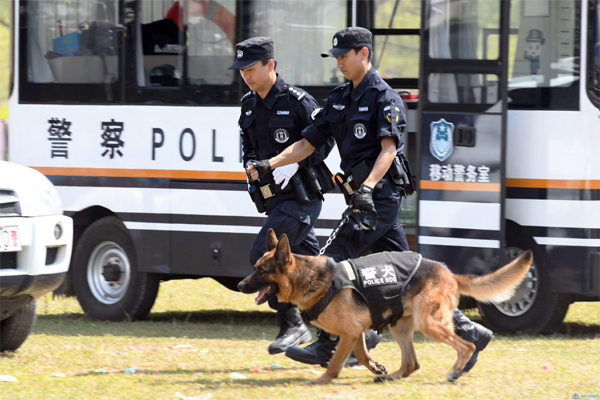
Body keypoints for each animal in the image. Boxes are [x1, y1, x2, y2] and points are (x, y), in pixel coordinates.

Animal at [237, 230, 532, 386]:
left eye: (261, 271)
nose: (240, 284)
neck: (309, 277)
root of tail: (448, 272)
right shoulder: (355, 332)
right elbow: (362, 354)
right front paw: (376, 367)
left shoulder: (348, 333)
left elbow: (335, 361)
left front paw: (322, 380)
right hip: (400, 327)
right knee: (412, 363)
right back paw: (391, 376)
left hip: (428, 324)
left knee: (465, 346)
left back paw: (456, 370)